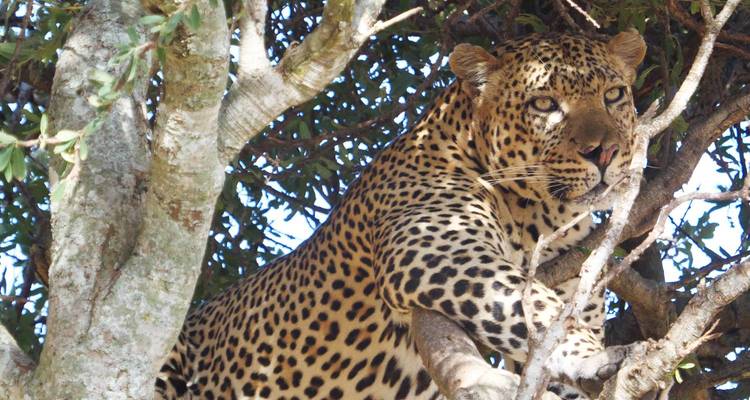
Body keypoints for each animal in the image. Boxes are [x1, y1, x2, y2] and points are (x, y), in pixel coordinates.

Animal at [155, 31, 647, 400]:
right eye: (544, 105)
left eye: (614, 95)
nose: (604, 152)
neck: (544, 217)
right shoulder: (436, 248)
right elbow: (543, 313)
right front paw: (597, 356)